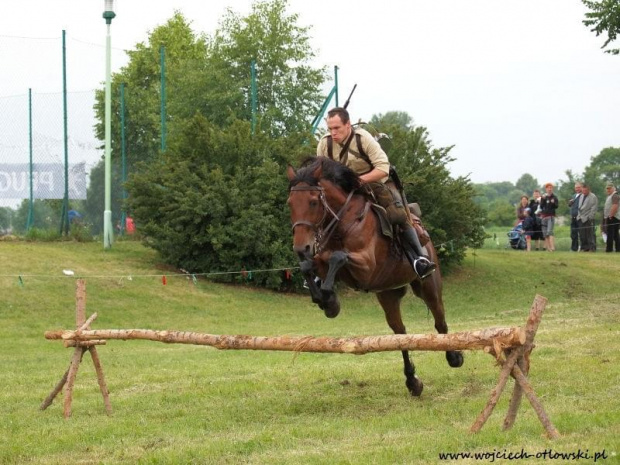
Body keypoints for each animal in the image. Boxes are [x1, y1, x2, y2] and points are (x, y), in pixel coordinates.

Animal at [288, 157, 462, 396]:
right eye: (290, 203)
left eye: (314, 202)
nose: (301, 248)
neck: (344, 222)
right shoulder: (322, 260)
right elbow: (309, 266)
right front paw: (327, 302)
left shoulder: (366, 268)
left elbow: (338, 257)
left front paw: (328, 297)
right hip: (387, 293)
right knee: (400, 333)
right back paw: (412, 381)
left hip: (428, 286)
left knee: (440, 321)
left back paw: (454, 356)